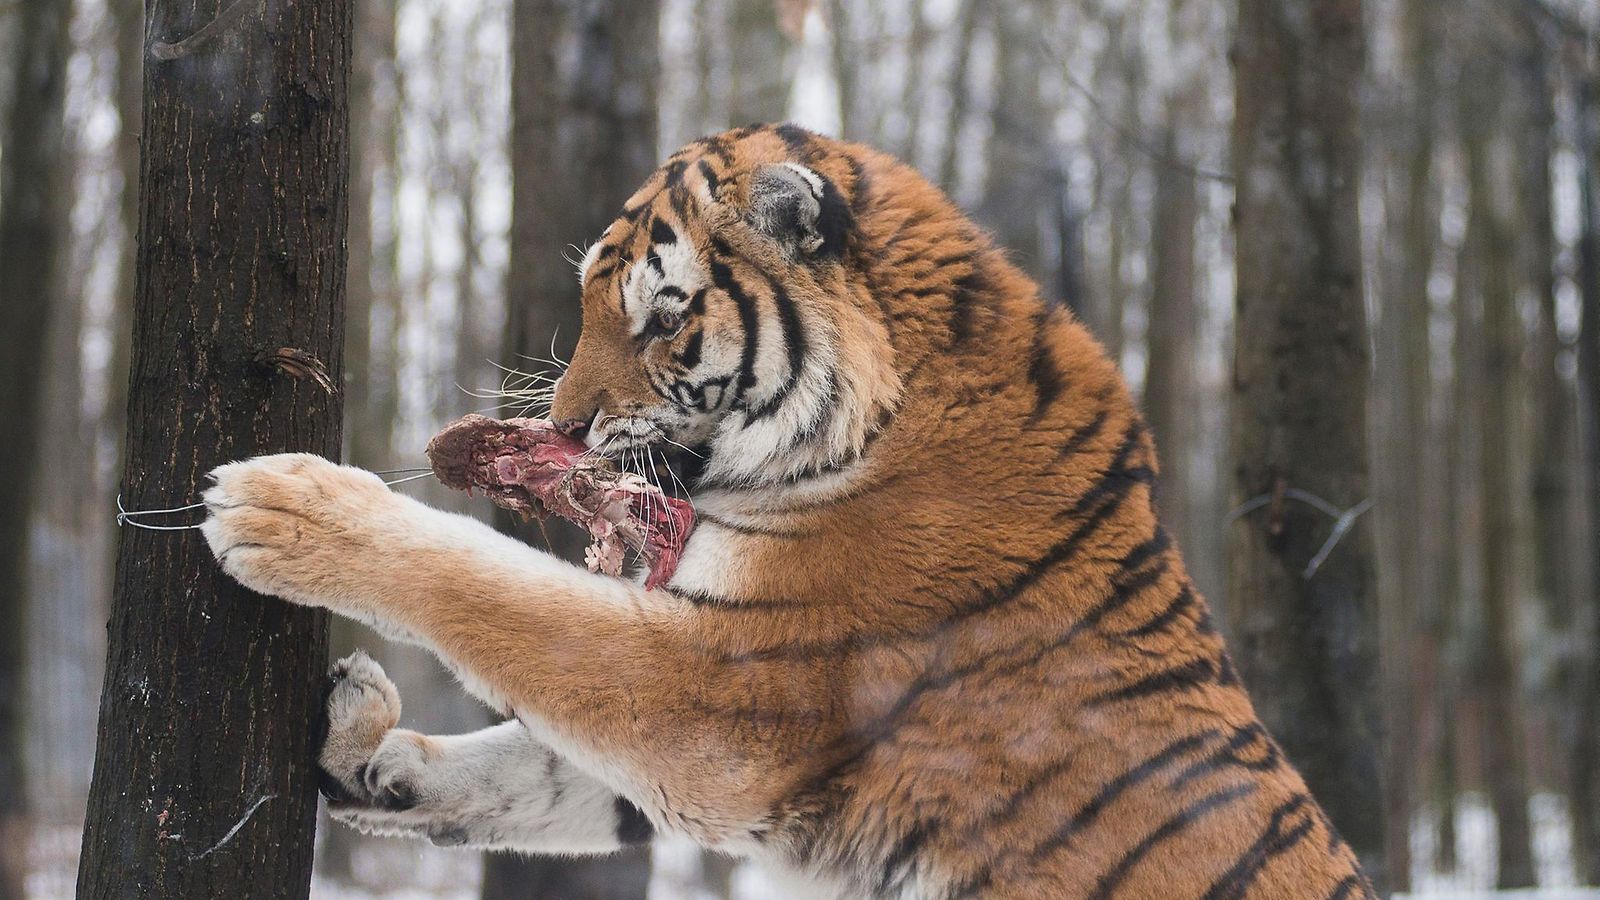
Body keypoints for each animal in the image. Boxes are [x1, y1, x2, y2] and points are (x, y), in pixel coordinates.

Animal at [200, 122, 1376, 890]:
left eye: (662, 315)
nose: (570, 425)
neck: (884, 419)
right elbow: (524, 768)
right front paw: (365, 747)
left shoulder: (730, 691)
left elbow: (501, 598)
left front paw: (284, 507)